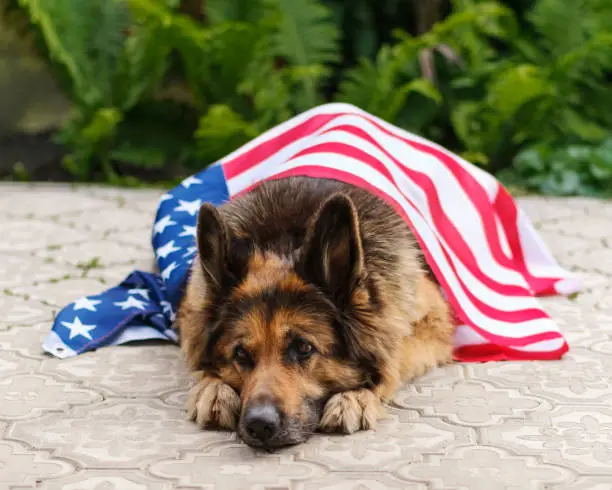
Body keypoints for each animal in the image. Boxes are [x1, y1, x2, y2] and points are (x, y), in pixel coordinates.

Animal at [175, 176, 452, 448]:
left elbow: (394, 355)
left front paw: (356, 395)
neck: (286, 241)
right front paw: (213, 386)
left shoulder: (435, 322)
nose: (259, 425)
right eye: (240, 353)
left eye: (303, 347)